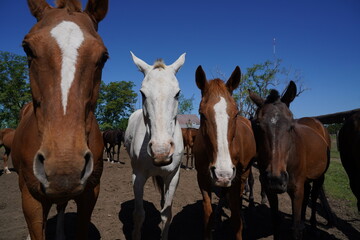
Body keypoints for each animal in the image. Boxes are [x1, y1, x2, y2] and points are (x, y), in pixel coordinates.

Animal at [124, 52, 186, 240]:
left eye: (177, 93)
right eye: (142, 93)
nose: (161, 151)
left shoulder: (173, 177)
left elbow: (167, 214)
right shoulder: (137, 177)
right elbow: (139, 214)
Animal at [193, 65, 258, 240]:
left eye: (236, 113)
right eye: (202, 113)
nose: (223, 173)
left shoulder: (238, 177)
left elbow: (236, 217)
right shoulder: (202, 177)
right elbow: (207, 214)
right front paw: (213, 221)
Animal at [249, 81, 330, 240]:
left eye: (291, 126)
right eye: (258, 125)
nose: (275, 179)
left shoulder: (297, 190)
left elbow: (295, 230)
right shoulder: (270, 190)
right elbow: (275, 222)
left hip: (320, 177)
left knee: (314, 196)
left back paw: (313, 227)